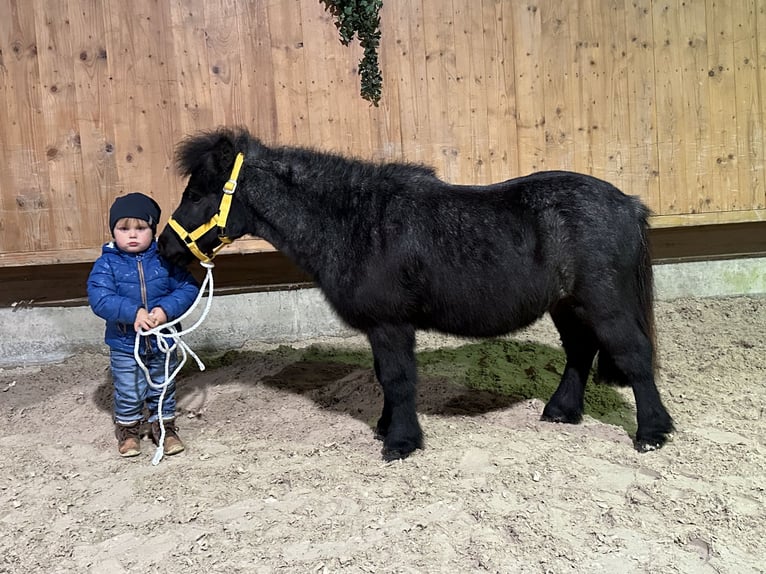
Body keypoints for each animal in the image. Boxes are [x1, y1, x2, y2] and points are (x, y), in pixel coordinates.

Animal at [159, 128, 676, 462]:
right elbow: (384, 378)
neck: (356, 222)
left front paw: (401, 442)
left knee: (633, 354)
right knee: (580, 351)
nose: (165, 247)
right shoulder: (379, 328)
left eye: (199, 194)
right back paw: (561, 412)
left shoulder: (391, 325)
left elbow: (398, 378)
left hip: (603, 302)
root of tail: (628, 203)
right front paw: (387, 427)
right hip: (567, 304)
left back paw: (652, 432)